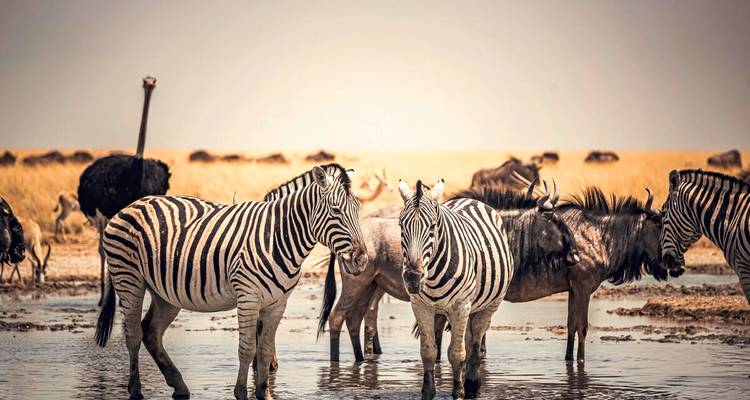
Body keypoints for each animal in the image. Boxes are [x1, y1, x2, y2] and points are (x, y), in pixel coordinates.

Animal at [95, 164, 368, 400]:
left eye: (358, 210)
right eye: (336, 211)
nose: (361, 259)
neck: (279, 236)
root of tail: (131, 205)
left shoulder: (277, 304)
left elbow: (264, 349)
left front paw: (265, 393)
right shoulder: (248, 296)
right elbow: (247, 349)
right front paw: (241, 393)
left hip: (165, 292)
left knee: (151, 331)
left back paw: (179, 385)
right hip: (128, 277)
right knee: (134, 334)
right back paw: (135, 390)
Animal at [398, 179, 513, 400]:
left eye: (432, 227)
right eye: (401, 226)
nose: (413, 278)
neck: (432, 273)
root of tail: (470, 199)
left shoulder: (460, 305)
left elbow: (456, 353)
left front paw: (458, 392)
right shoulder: (421, 306)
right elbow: (428, 352)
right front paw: (428, 392)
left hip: (488, 304)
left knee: (475, 340)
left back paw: (472, 384)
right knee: (467, 339)